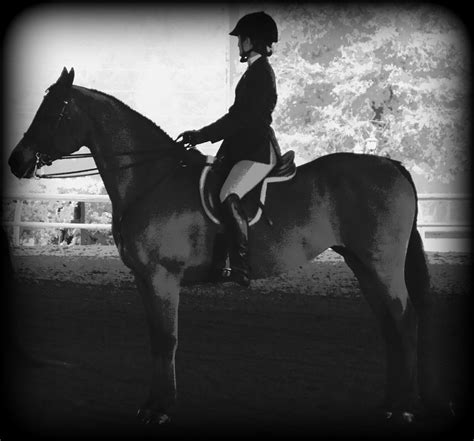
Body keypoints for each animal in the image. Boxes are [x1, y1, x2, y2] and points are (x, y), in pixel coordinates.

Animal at [7, 68, 448, 422]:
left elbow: (166, 339)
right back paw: (389, 404)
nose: (17, 160)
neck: (151, 179)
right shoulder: (145, 280)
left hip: (382, 265)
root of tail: (391, 164)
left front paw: (160, 409)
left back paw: (405, 408)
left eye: (54, 110)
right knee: (389, 326)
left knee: (404, 321)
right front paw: (153, 403)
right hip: (362, 264)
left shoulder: (162, 277)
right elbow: (155, 339)